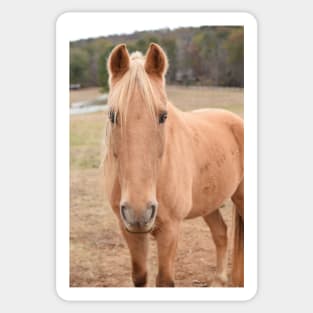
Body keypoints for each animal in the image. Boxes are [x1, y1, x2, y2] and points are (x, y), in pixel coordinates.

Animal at [102, 42, 244, 286]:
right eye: (112, 116)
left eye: (163, 116)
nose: (139, 211)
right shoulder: (128, 229)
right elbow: (140, 277)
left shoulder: (170, 229)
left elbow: (165, 281)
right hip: (209, 203)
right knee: (220, 233)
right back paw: (219, 280)